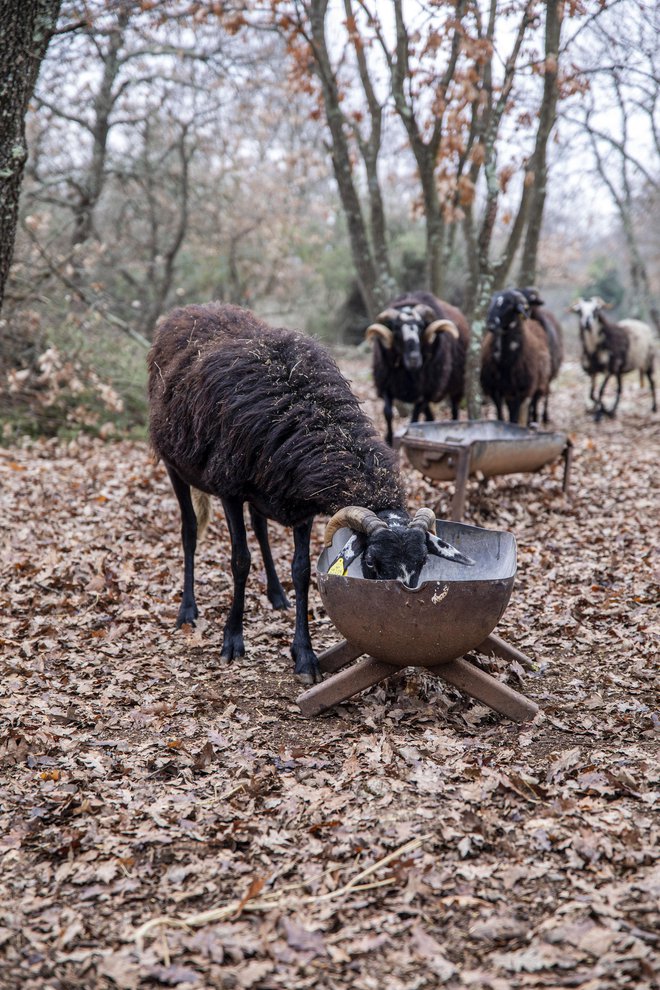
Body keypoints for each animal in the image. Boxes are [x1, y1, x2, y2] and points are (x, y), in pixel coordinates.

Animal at [366, 290, 470, 446]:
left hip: (457, 385)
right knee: (430, 417)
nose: (414, 358)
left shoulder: (427, 390)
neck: (409, 372)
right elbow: (387, 412)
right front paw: (388, 439)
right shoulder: (386, 384)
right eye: (396, 329)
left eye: (421, 327)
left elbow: (414, 417)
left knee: (454, 409)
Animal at [480, 286, 552, 426]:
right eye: (491, 302)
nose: (490, 323)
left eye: (509, 305)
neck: (505, 362)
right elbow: (500, 416)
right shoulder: (495, 389)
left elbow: (514, 417)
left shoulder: (520, 391)